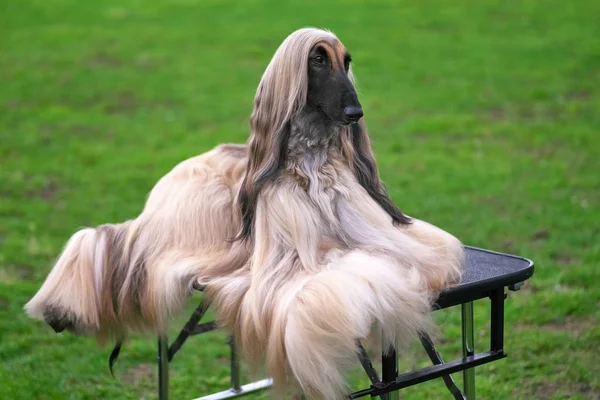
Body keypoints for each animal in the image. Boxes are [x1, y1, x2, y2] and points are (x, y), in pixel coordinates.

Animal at [25, 28, 462, 400]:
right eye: (317, 60)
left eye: (347, 61)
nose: (355, 112)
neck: (311, 167)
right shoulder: (287, 264)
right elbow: (331, 282)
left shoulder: (382, 232)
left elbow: (417, 252)